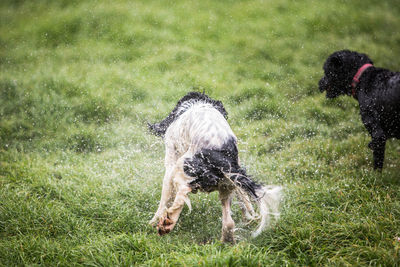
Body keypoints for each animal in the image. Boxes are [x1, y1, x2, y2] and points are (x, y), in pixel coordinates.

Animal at [147, 91, 282, 243]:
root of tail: (221, 158)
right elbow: (242, 196)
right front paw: (249, 215)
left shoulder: (170, 159)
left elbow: (165, 197)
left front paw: (153, 221)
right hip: (225, 186)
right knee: (229, 223)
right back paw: (226, 241)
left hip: (182, 167)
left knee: (181, 193)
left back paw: (167, 223)